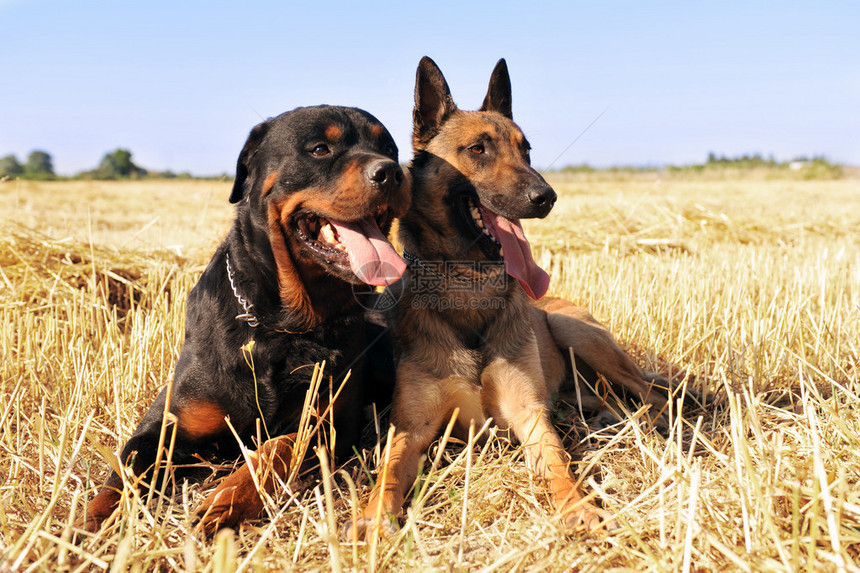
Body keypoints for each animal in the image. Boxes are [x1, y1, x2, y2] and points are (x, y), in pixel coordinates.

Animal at [81, 105, 414, 536]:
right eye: (320, 149)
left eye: (389, 148)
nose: (391, 171)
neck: (282, 324)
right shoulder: (164, 424)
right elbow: (124, 473)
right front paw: (83, 524)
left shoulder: (330, 425)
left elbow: (276, 448)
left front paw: (224, 499)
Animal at [346, 57, 668, 536]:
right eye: (478, 149)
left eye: (526, 150)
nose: (546, 197)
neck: (469, 288)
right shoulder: (412, 426)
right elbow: (389, 468)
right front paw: (372, 516)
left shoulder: (529, 415)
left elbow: (558, 464)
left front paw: (577, 505)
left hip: (575, 331)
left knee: (655, 396)